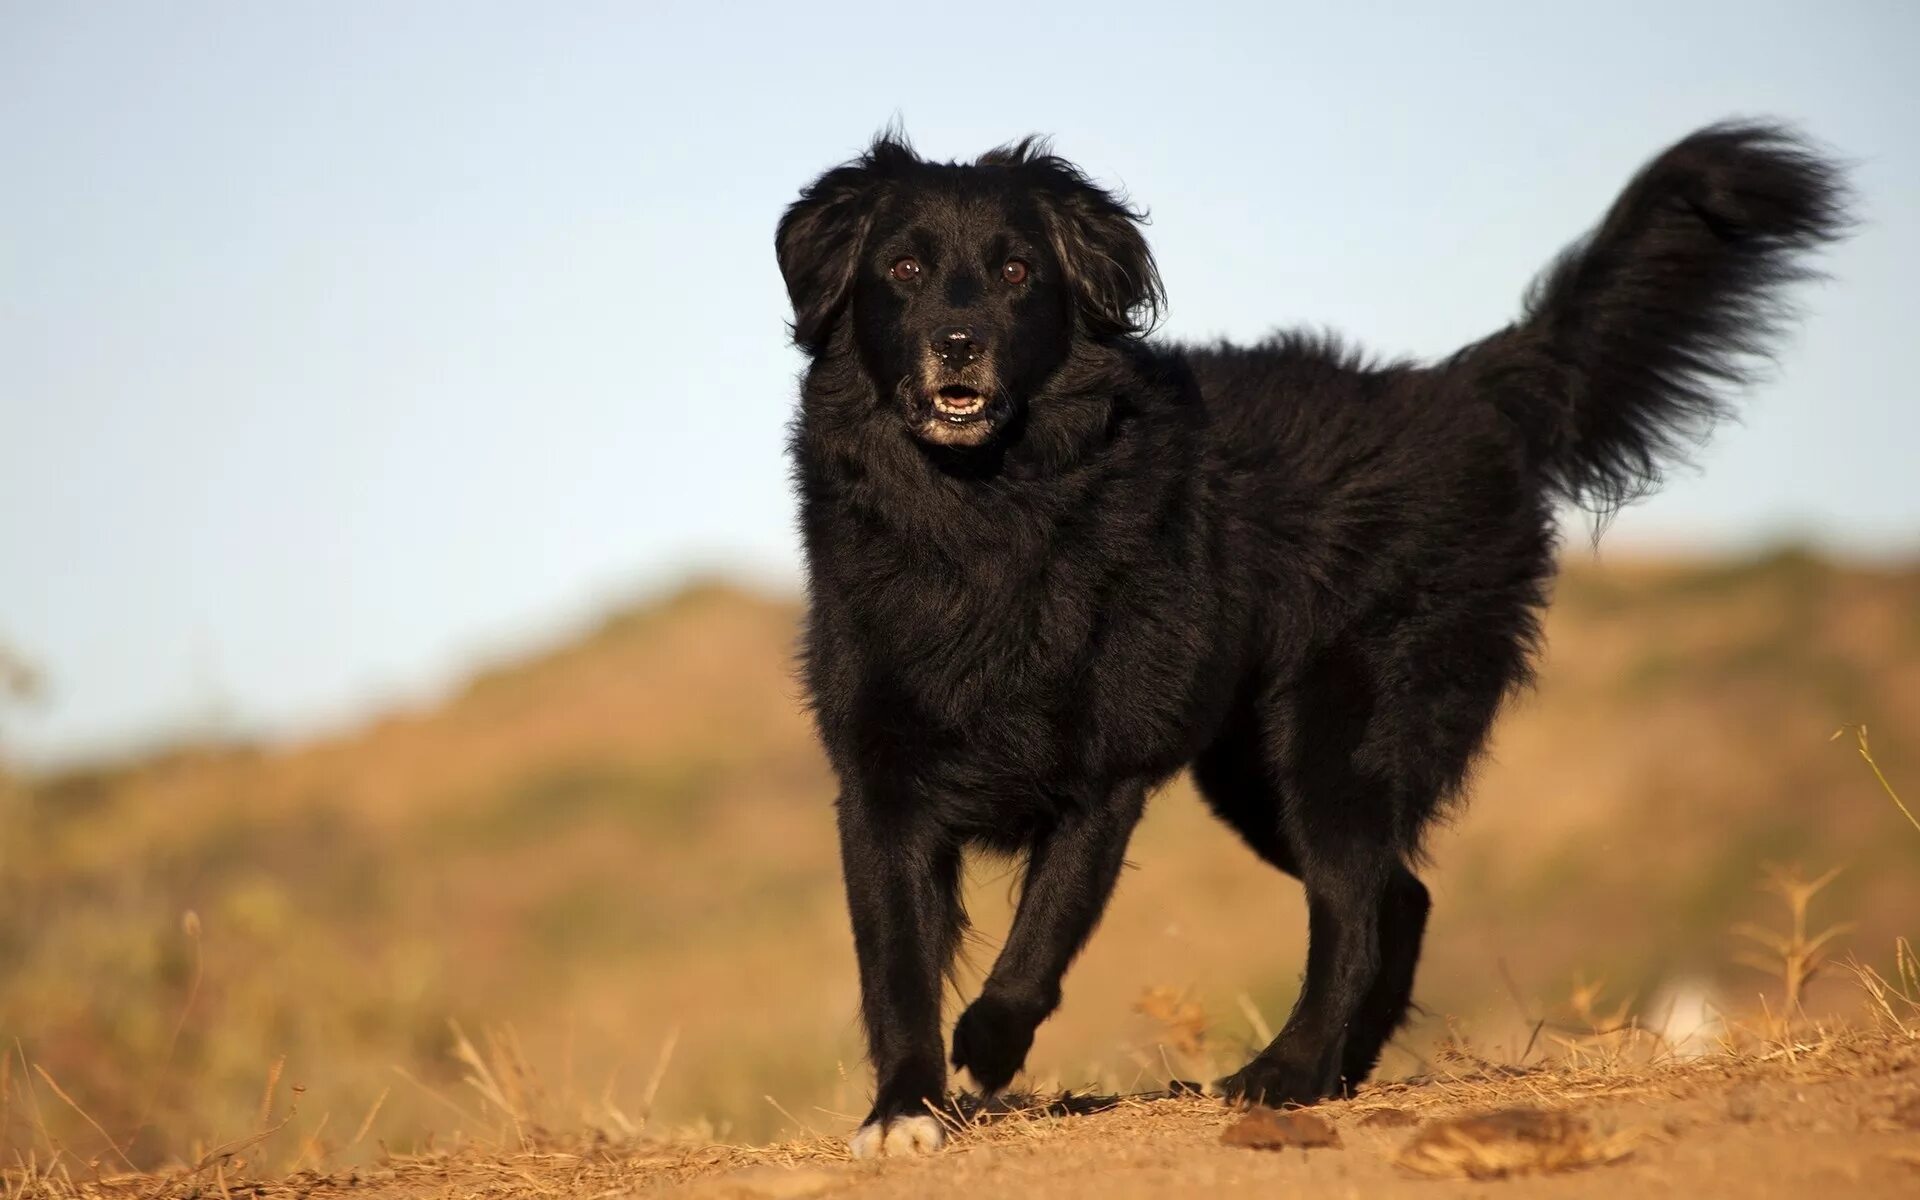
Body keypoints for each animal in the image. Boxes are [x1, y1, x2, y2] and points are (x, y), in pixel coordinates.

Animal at [775, 121, 1843, 1152]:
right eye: (902, 270)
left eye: (1016, 272)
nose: (958, 344)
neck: (980, 513)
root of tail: (1464, 389)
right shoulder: (881, 781)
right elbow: (897, 967)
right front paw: (904, 1111)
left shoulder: (1105, 771)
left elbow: (1042, 936)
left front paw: (989, 1048)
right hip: (1256, 775)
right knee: (1397, 895)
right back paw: (1338, 1070)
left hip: (1341, 735)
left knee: (1354, 902)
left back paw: (1285, 1073)